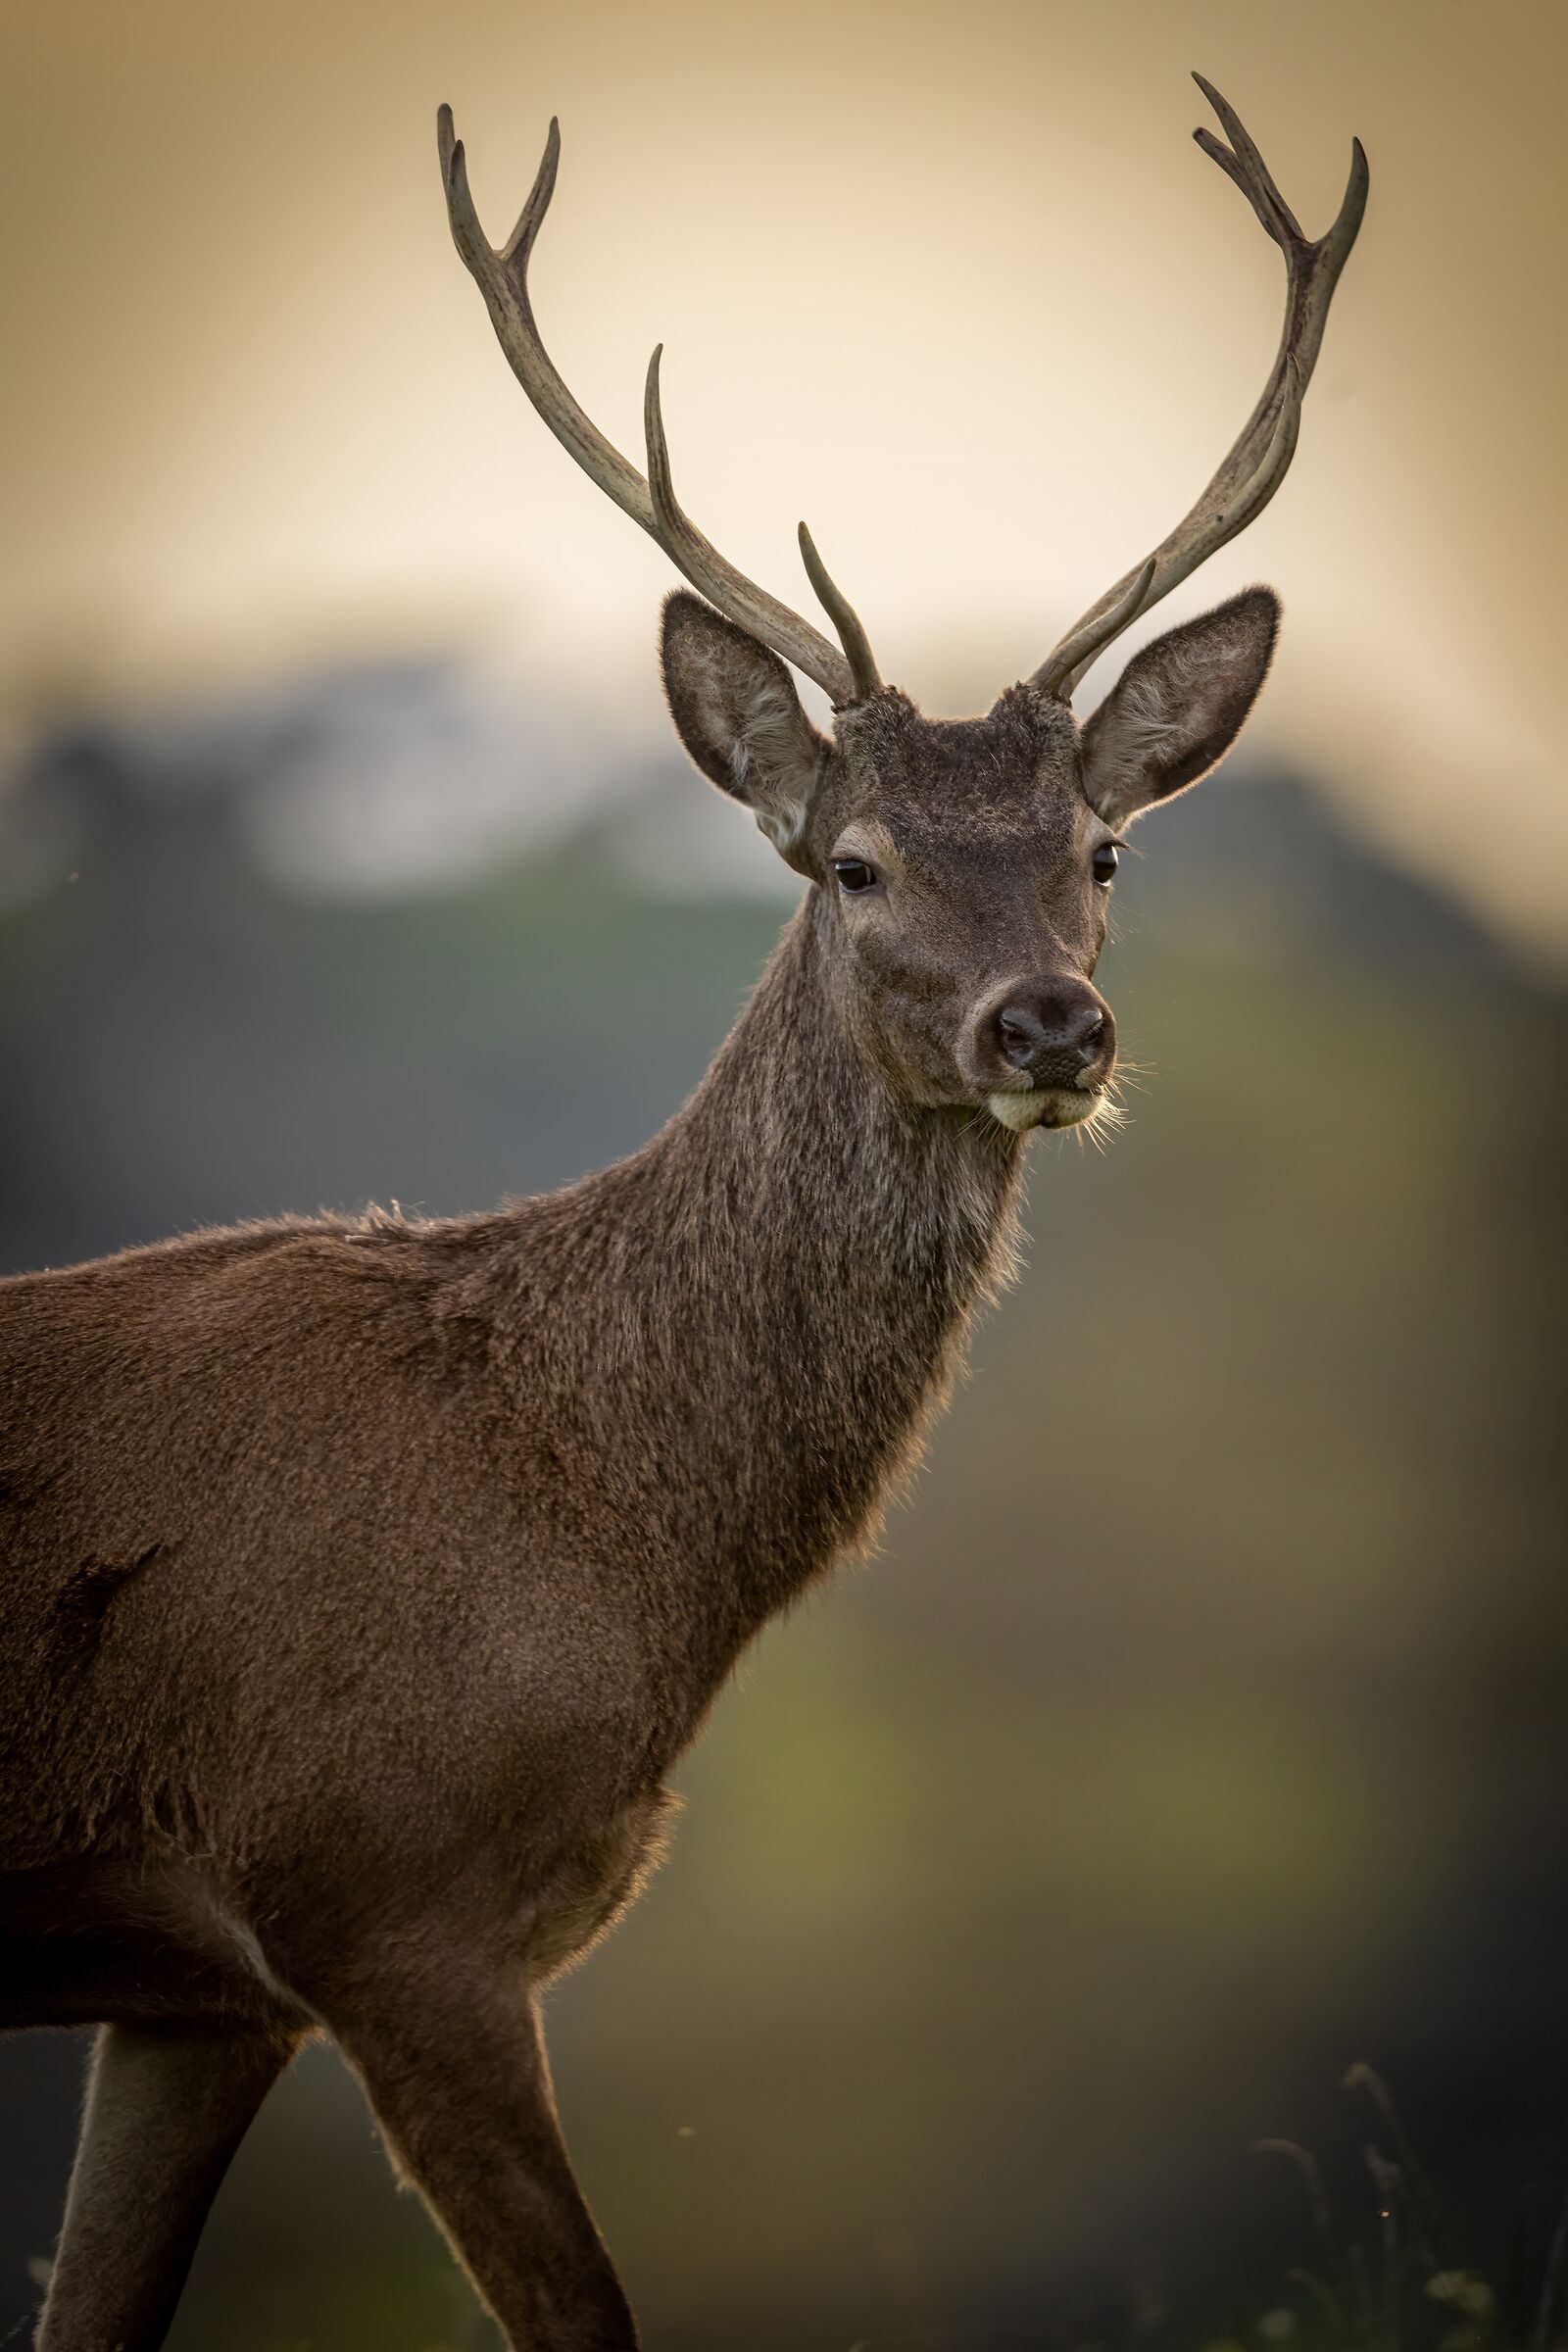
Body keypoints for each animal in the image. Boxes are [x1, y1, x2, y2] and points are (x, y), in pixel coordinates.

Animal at [0, 73, 1365, 2352]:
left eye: (1102, 852)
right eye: (855, 862)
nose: (1050, 1023)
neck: (601, 1538)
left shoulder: (205, 1989)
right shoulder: (384, 1895)